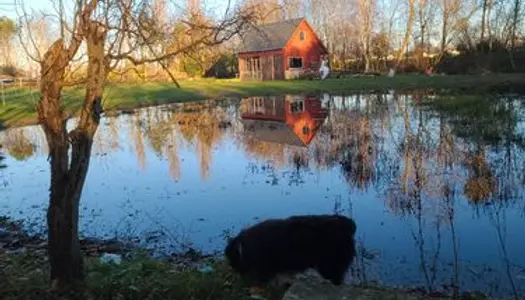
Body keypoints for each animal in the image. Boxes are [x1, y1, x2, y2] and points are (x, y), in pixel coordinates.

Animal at [225, 214, 356, 284]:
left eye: (232, 260)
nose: (235, 271)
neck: (243, 246)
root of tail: (349, 225)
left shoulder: (266, 269)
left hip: (330, 266)